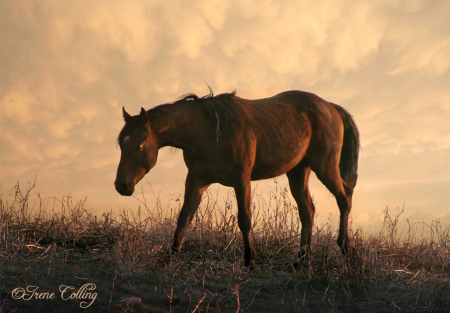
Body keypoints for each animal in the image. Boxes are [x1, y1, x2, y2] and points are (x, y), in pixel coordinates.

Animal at [114, 89, 360, 266]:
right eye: (121, 145)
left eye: (139, 145)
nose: (121, 186)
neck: (209, 131)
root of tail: (331, 107)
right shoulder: (196, 180)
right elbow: (184, 217)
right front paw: (171, 256)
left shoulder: (241, 179)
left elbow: (244, 219)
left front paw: (250, 260)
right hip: (299, 171)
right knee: (308, 211)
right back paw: (301, 259)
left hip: (325, 167)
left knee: (345, 197)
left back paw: (344, 246)